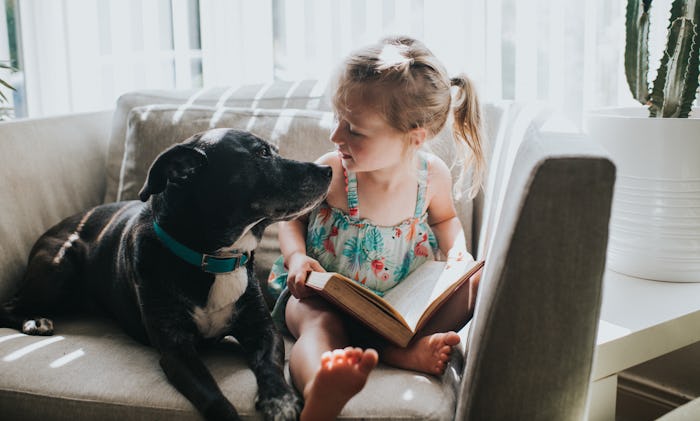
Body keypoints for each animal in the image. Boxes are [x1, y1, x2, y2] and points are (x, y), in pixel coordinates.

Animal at [0, 128, 334, 420]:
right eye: (262, 153)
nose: (328, 169)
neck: (213, 259)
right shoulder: (176, 350)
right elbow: (214, 397)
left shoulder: (263, 330)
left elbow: (271, 366)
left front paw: (281, 400)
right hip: (59, 266)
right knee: (8, 305)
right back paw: (34, 320)